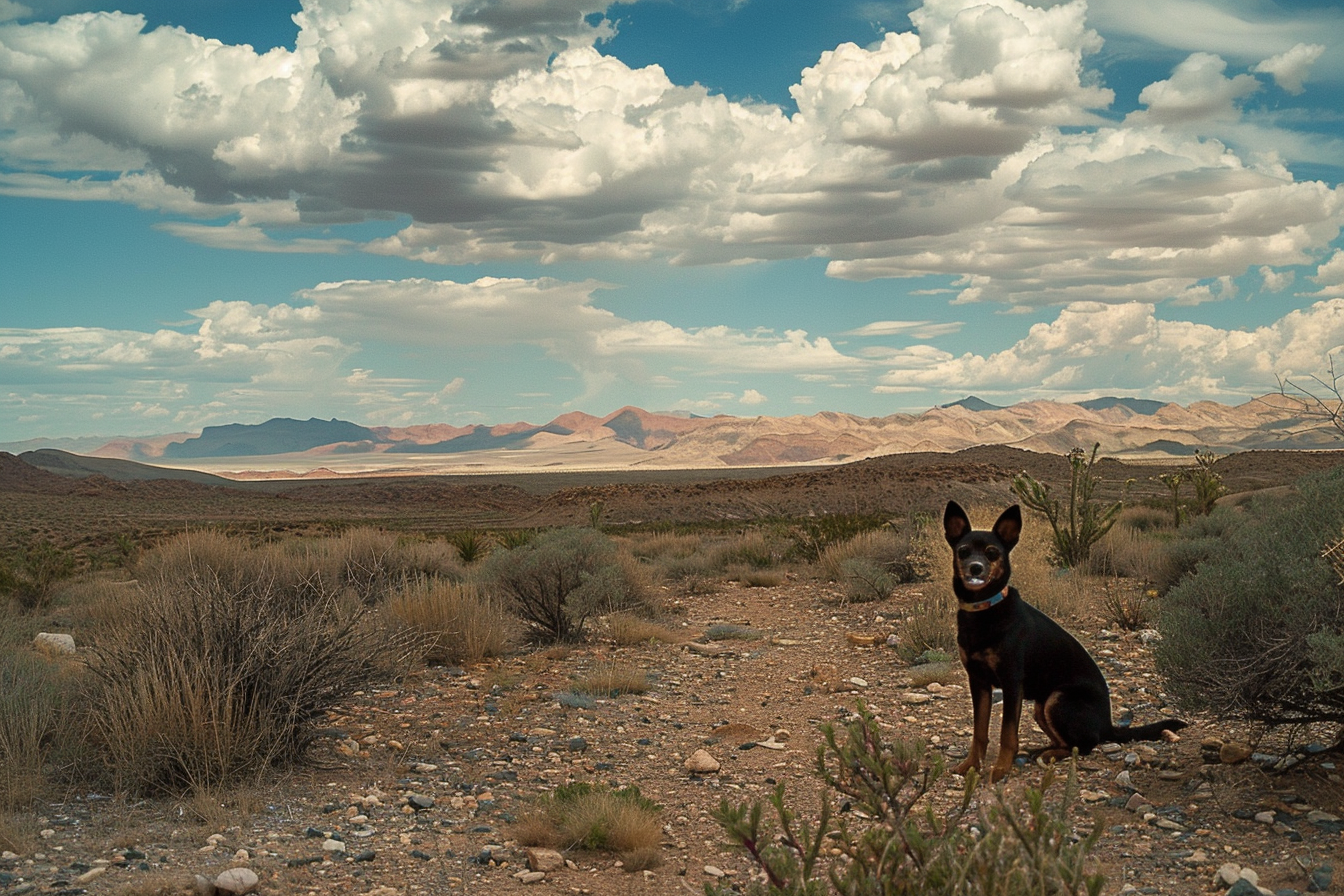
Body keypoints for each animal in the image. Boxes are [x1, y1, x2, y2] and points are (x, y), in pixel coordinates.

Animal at [946, 502, 1188, 779]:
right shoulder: (978, 682)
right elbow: (979, 732)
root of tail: (1109, 726)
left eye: (992, 552)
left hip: (1058, 699)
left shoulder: (1011, 682)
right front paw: (970, 765)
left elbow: (1007, 734)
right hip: (1042, 707)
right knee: (1069, 741)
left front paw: (1000, 770)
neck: (984, 608)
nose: (975, 567)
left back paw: (1048, 754)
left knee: (1085, 745)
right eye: (963, 551)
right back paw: (1039, 750)